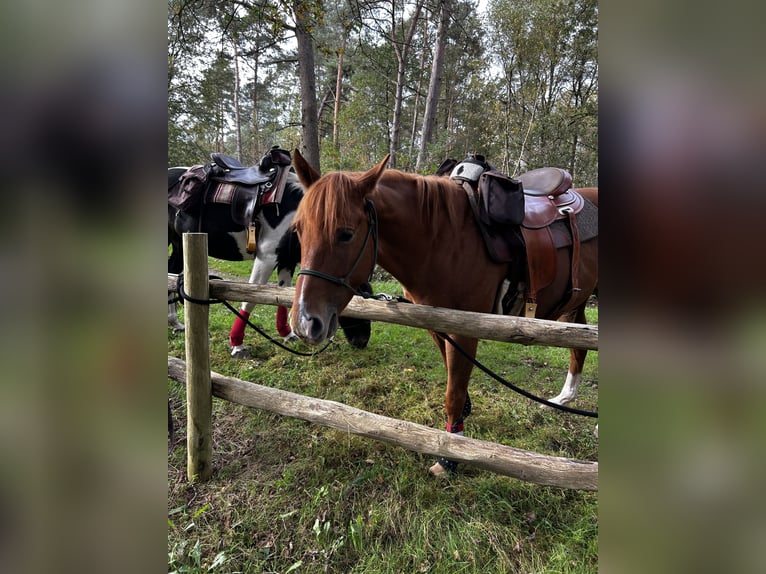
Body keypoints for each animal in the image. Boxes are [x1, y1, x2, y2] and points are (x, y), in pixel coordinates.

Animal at [168, 162, 371, 356]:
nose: (362, 341)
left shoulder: (287, 259)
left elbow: (283, 295)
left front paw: (287, 334)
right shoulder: (267, 256)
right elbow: (250, 300)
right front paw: (237, 344)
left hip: (178, 245)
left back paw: (175, 323)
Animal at [288, 150, 597, 475]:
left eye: (346, 234)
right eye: (298, 230)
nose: (305, 323)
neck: (443, 239)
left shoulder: (466, 330)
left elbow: (453, 393)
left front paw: (450, 455)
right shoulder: (436, 322)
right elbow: (453, 379)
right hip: (574, 304)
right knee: (578, 348)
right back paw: (564, 398)